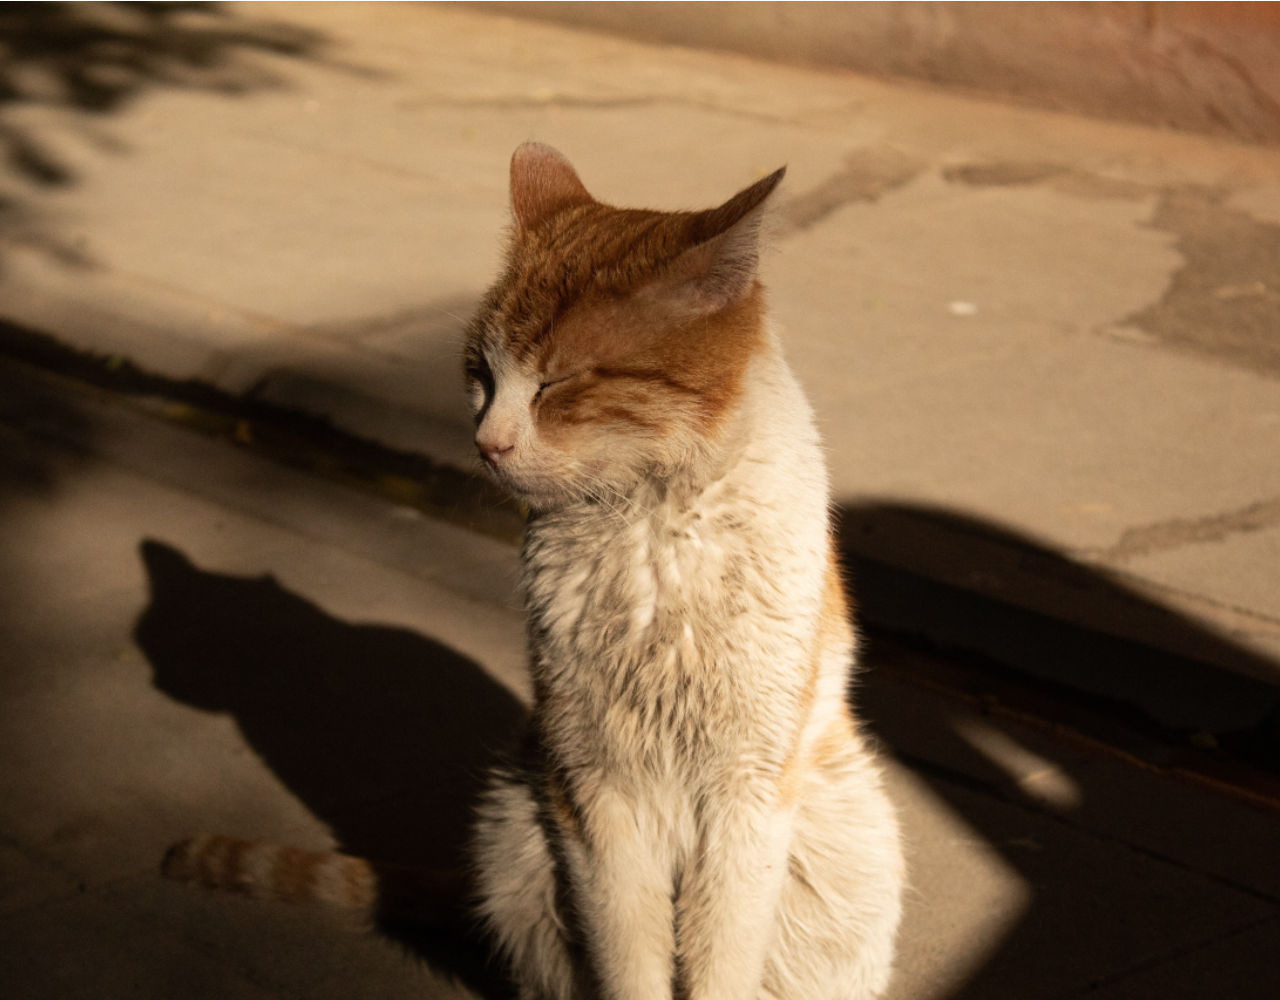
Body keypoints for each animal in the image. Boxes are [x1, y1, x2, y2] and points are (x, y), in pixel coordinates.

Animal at [468, 142, 901, 998]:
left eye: (558, 382)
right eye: (481, 375)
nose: (486, 443)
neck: (651, 528)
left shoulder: (747, 790)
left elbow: (720, 957)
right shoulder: (593, 790)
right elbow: (629, 958)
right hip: (515, 830)